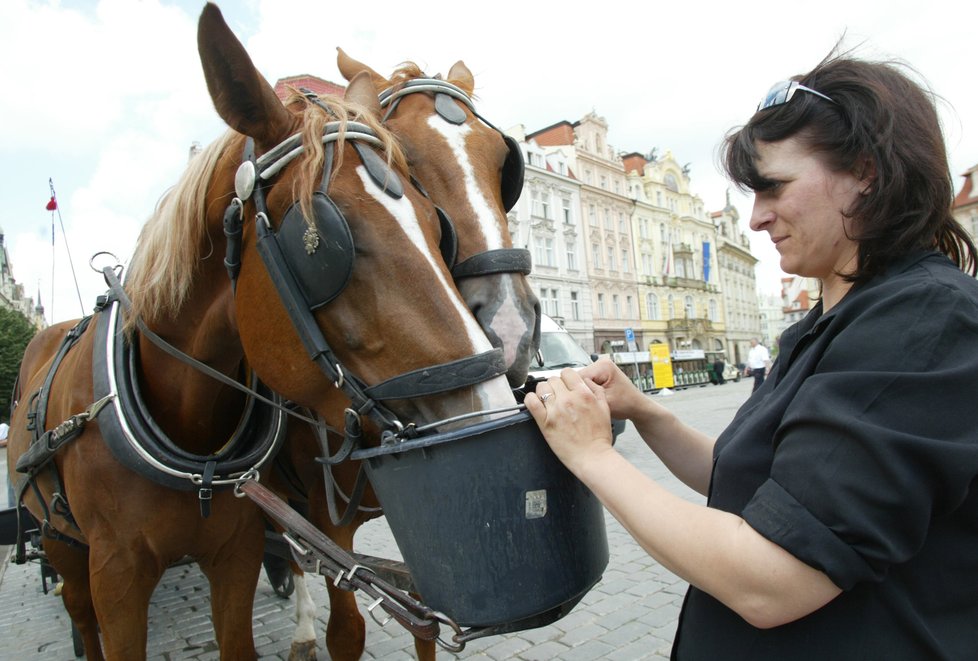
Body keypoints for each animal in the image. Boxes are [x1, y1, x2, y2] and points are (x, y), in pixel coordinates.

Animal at [3, 3, 516, 656]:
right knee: (79, 611)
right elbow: (346, 627)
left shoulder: (246, 550)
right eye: (321, 244)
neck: (189, 431)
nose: (511, 333)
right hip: (62, 544)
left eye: (503, 168)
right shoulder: (120, 574)